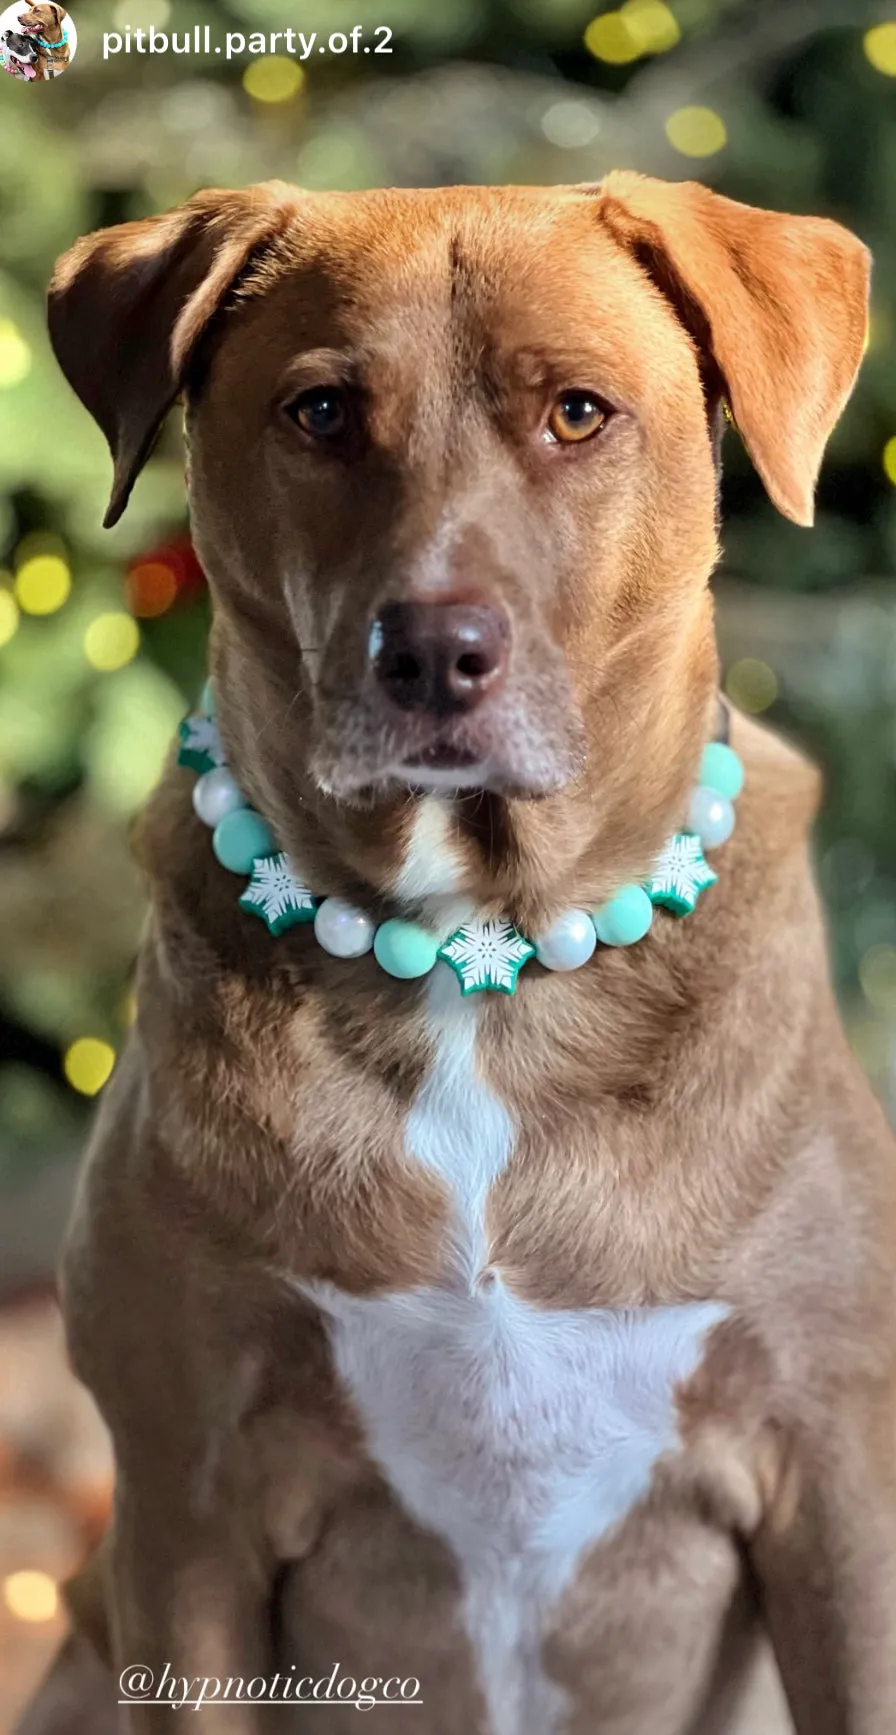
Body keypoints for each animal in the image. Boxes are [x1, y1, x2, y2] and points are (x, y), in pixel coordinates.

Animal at [22, 179, 896, 1735]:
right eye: (319, 411)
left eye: (578, 413)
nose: (431, 652)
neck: (476, 959)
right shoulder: (185, 1505)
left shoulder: (834, 1480)